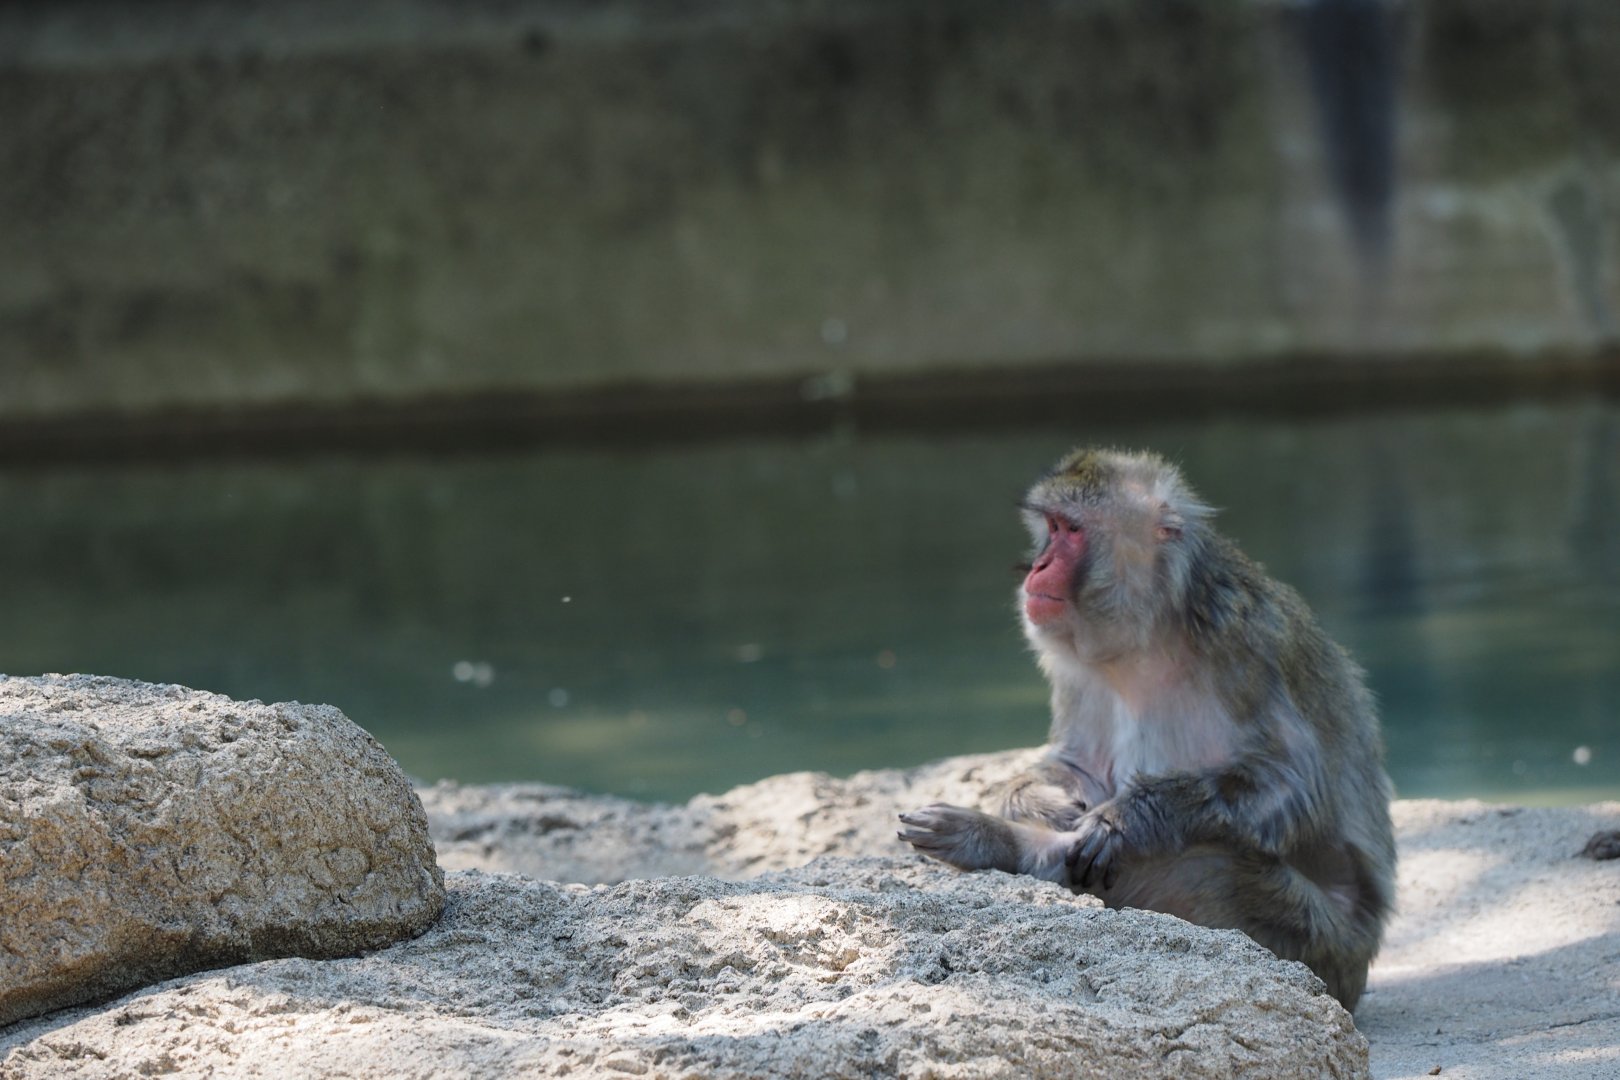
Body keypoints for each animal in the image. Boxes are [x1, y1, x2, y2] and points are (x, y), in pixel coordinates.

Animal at [898, 447, 1395, 1012]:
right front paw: (1040, 802)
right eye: (1049, 527)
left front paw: (1125, 820)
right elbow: (1075, 763)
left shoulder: (1244, 641)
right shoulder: (1076, 670)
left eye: (1071, 530)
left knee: (1206, 865)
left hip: (1324, 943)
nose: (1036, 566)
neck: (1149, 633)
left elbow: (1292, 785)